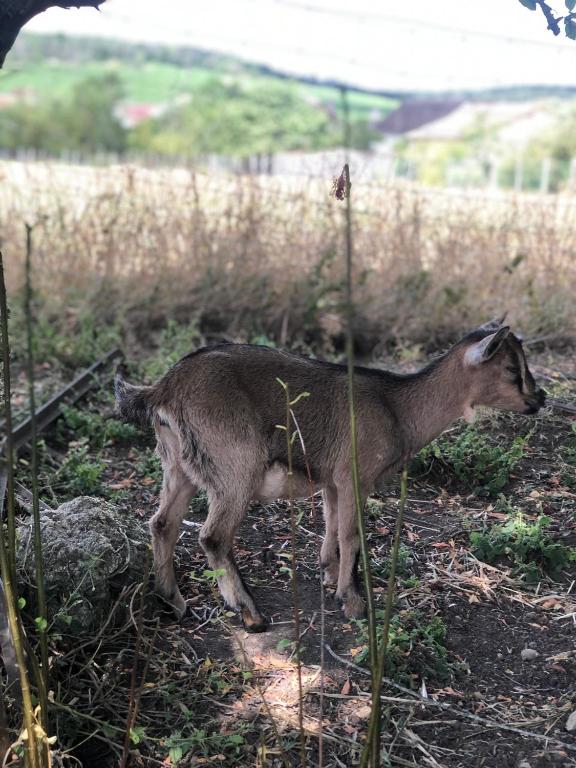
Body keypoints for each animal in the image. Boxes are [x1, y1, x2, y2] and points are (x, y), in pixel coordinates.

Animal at [116, 318, 544, 632]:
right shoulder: (356, 476)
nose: (539, 398)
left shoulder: (333, 481)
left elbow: (333, 528)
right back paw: (250, 613)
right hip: (235, 467)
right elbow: (352, 535)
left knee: (163, 524)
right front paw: (352, 601)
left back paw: (173, 602)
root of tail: (164, 389)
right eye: (511, 368)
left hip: (179, 466)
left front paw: (329, 576)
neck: (397, 407)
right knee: (213, 536)